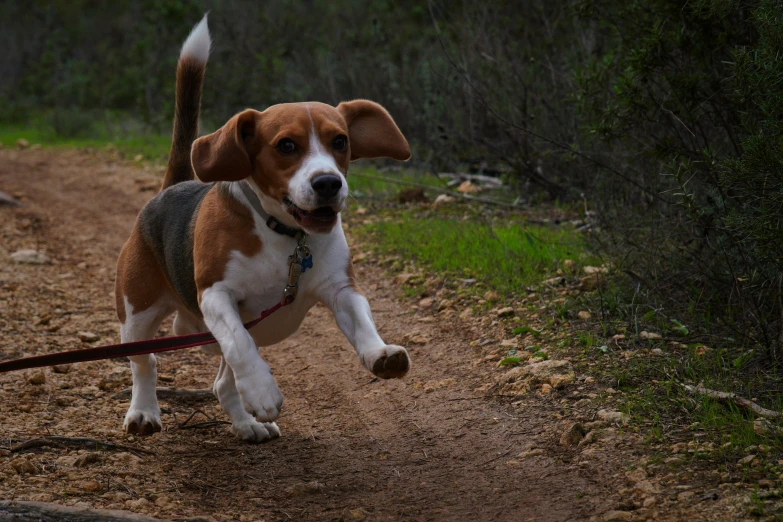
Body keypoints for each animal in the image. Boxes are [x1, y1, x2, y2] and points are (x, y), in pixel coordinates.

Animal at [115, 15, 414, 438]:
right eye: (286, 146)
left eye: (340, 141)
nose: (328, 183)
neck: (284, 234)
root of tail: (171, 188)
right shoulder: (216, 294)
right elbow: (240, 343)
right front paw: (262, 390)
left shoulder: (341, 288)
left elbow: (361, 321)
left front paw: (380, 353)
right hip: (135, 315)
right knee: (147, 362)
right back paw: (144, 411)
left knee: (222, 383)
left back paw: (247, 424)